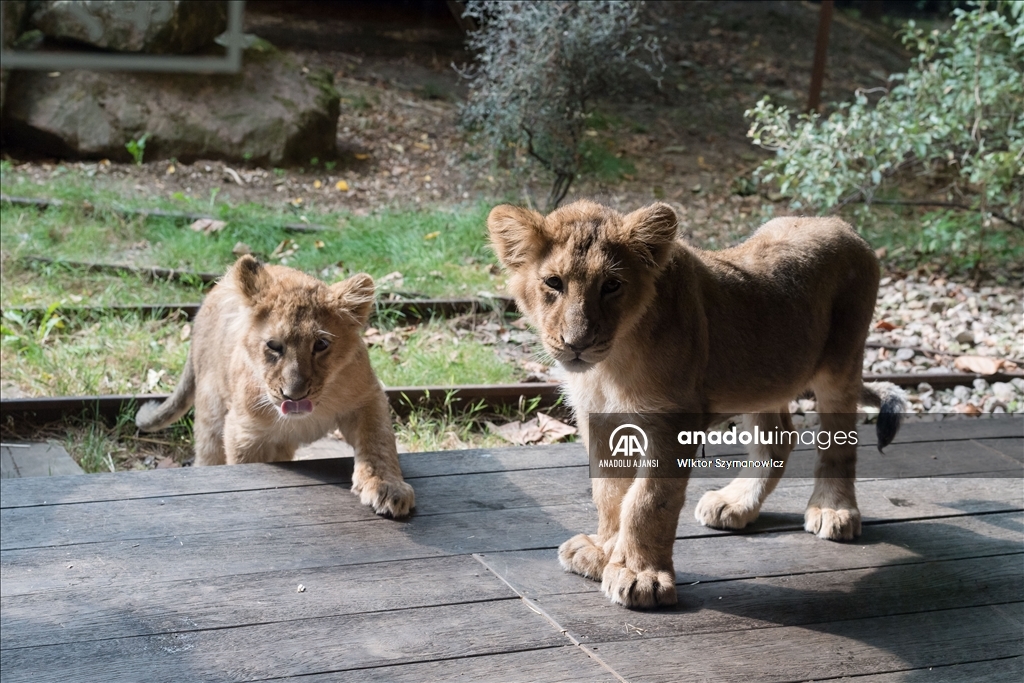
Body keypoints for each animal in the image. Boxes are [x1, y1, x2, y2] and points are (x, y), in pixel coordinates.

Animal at [136, 255, 415, 518]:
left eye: (321, 344)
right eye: (273, 345)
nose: (294, 395)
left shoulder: (367, 397)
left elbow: (378, 442)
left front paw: (388, 487)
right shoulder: (243, 432)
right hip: (211, 414)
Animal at [488, 199, 905, 608]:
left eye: (612, 285)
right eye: (553, 283)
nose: (577, 343)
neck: (609, 365)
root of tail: (842, 225)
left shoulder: (673, 420)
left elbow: (647, 500)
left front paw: (639, 576)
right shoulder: (600, 419)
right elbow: (609, 493)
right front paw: (603, 552)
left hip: (841, 363)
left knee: (839, 439)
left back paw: (834, 510)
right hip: (764, 377)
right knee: (778, 437)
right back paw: (735, 504)